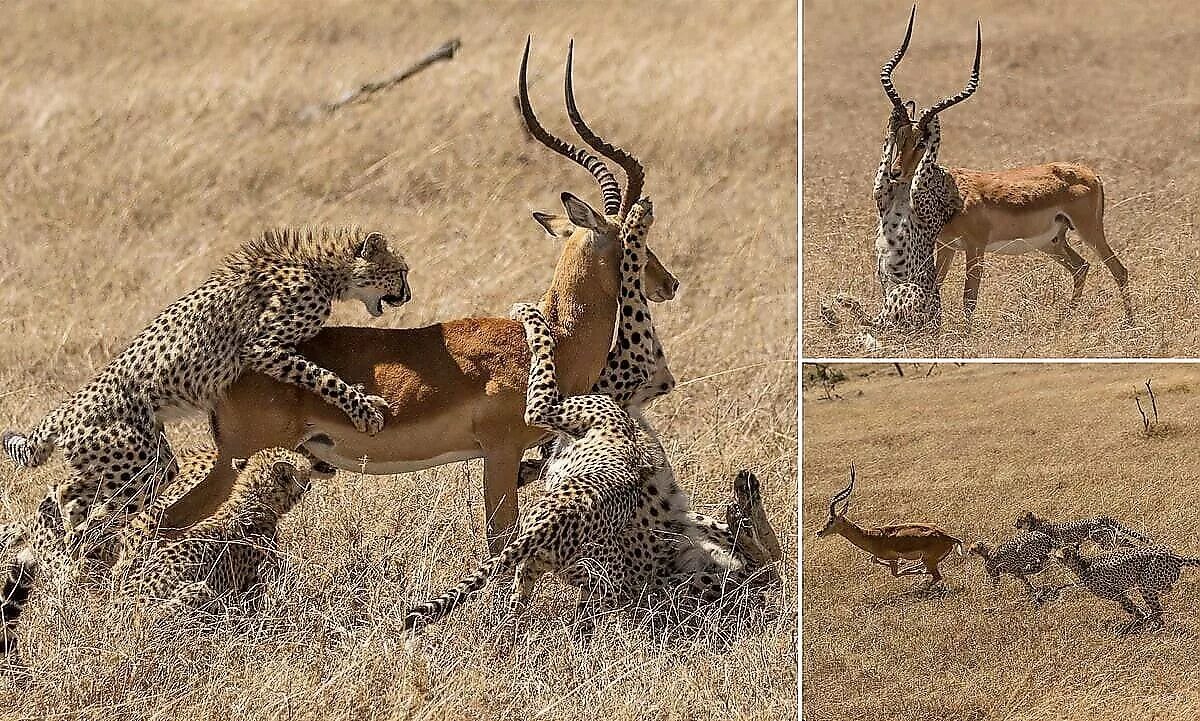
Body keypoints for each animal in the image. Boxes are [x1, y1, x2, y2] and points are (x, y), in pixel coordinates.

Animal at [2, 227, 408, 554]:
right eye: (401, 271)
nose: (407, 295)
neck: (322, 267)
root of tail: (60, 412)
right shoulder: (260, 347)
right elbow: (320, 375)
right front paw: (365, 409)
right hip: (140, 461)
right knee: (76, 494)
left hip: (133, 461)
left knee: (67, 488)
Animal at [403, 196, 777, 628]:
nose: (672, 284)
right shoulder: (647, 375)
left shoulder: (630, 370)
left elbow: (623, 287)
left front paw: (636, 221)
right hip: (672, 537)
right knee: (759, 553)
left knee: (765, 553)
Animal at [1012, 508, 1152, 549]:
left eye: (1019, 519)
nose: (1014, 524)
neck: (1034, 523)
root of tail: (1100, 516)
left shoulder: (1055, 543)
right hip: (1115, 536)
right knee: (1128, 542)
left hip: (1099, 537)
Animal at [1051, 542, 1200, 633]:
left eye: (1058, 554)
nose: (1051, 554)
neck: (1082, 564)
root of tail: (1175, 556)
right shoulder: (1121, 594)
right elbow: (1130, 607)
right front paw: (1142, 619)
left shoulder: (1118, 594)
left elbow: (1133, 608)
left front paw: (1140, 619)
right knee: (1164, 597)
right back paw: (1156, 624)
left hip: (1145, 584)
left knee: (1157, 609)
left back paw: (1150, 623)